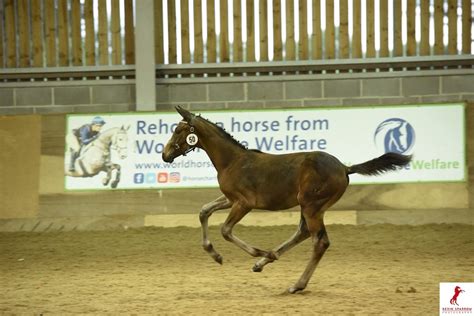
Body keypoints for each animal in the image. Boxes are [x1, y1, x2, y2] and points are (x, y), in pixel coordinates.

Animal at [162, 107, 412, 294]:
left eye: (178, 130)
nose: (165, 155)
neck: (232, 161)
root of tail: (344, 168)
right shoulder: (230, 199)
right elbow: (204, 211)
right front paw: (215, 254)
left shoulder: (244, 203)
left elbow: (225, 230)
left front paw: (258, 252)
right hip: (308, 206)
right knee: (303, 232)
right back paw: (265, 263)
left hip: (312, 205)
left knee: (319, 242)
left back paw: (295, 284)